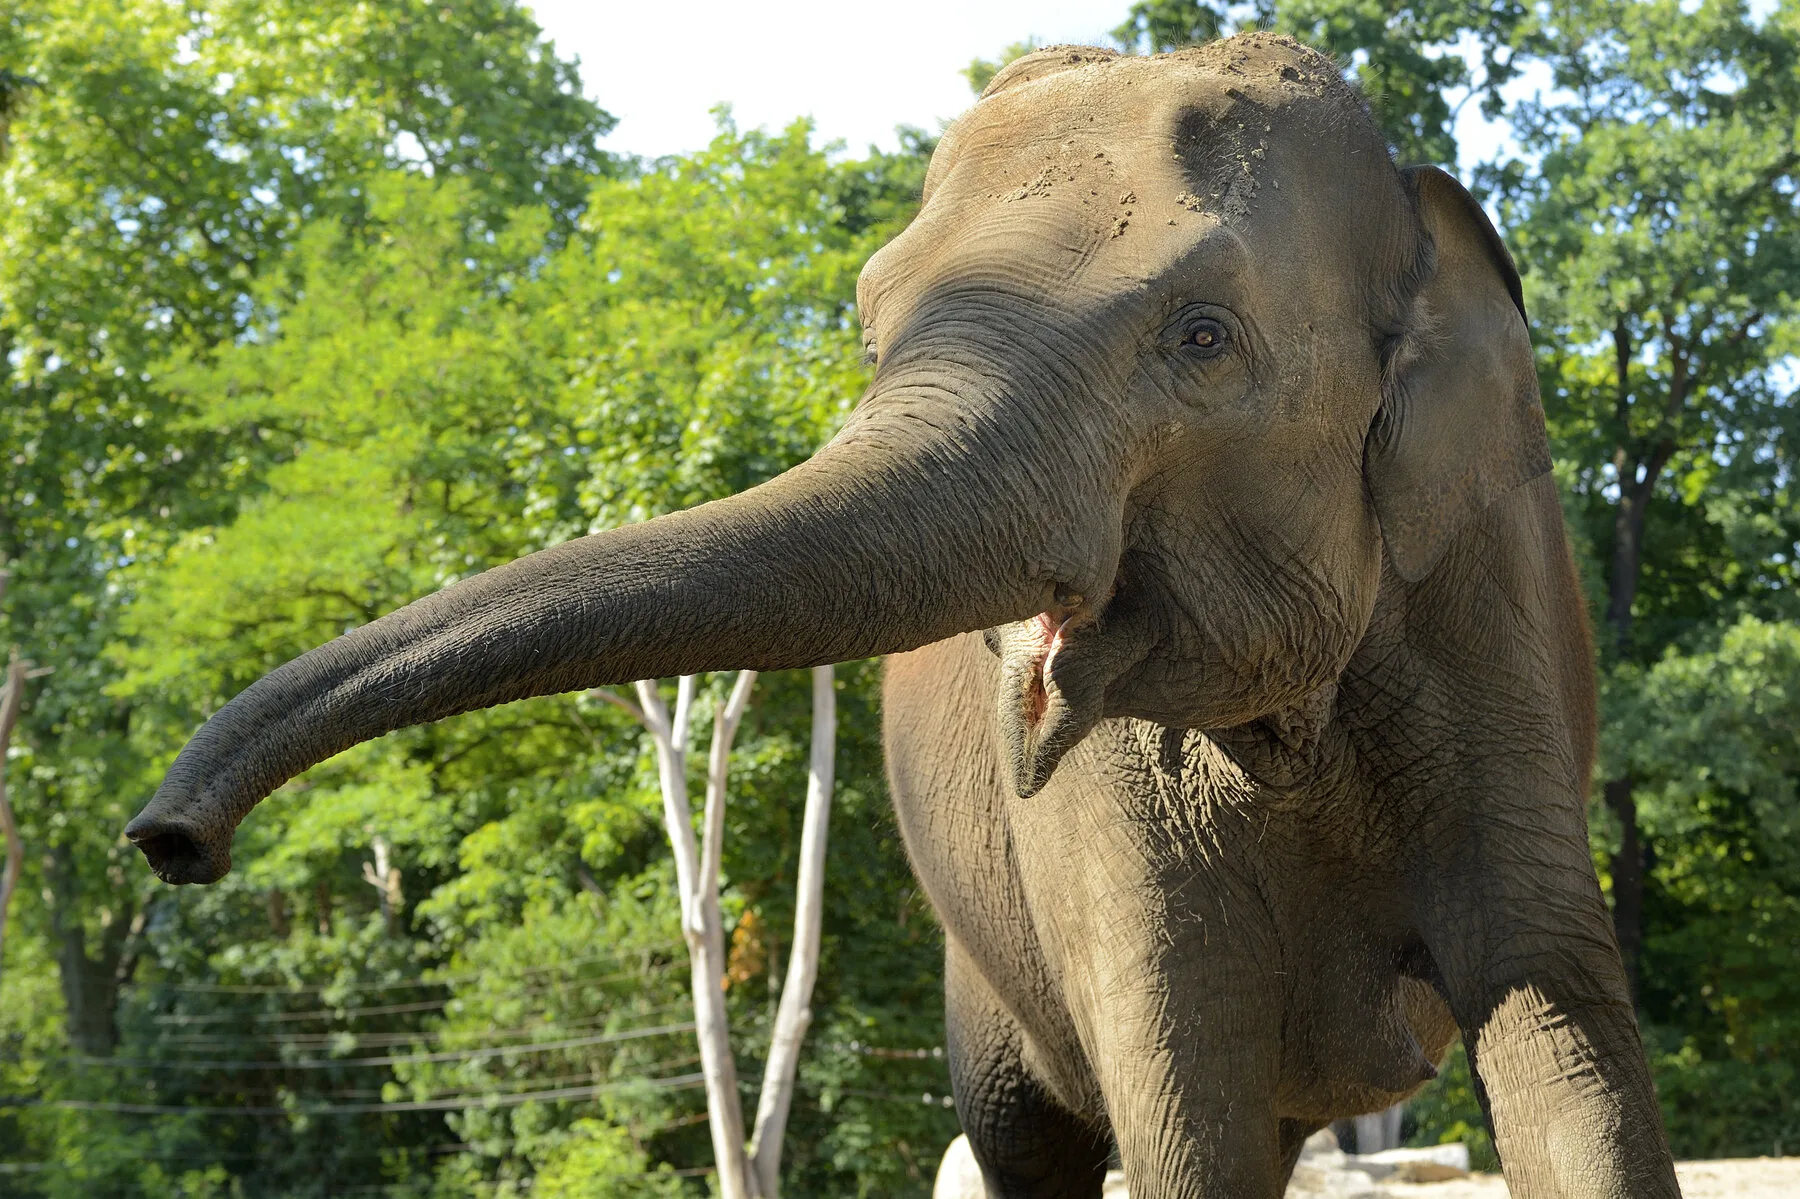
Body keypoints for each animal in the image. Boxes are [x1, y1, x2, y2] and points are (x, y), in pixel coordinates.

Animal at [125, 33, 1681, 1199]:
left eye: (1202, 338)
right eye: (870, 323)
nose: (169, 837)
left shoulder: (1492, 613)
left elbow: (1563, 1035)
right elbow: (1186, 1095)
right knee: (1026, 1136)